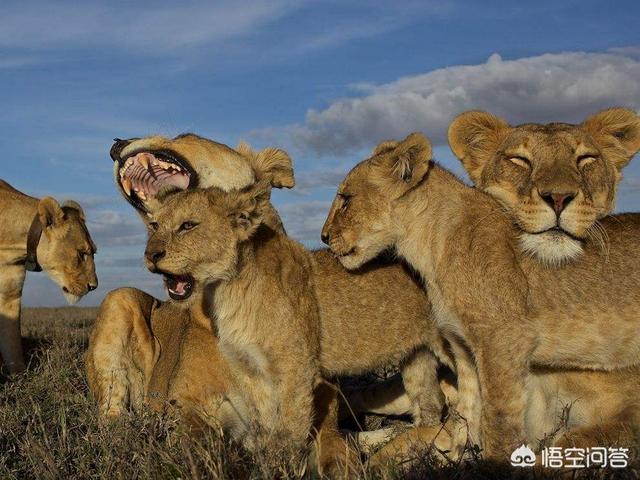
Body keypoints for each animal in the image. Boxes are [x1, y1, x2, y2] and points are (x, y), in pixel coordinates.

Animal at [0, 180, 97, 376]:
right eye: (82, 253)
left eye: (94, 252)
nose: (94, 286)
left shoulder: (10, 295)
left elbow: (11, 342)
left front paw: (20, 376)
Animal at [322, 131, 640, 462]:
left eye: (346, 200)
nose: (324, 236)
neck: (429, 245)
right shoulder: (462, 346)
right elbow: (467, 412)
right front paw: (458, 457)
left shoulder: (505, 342)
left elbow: (498, 420)